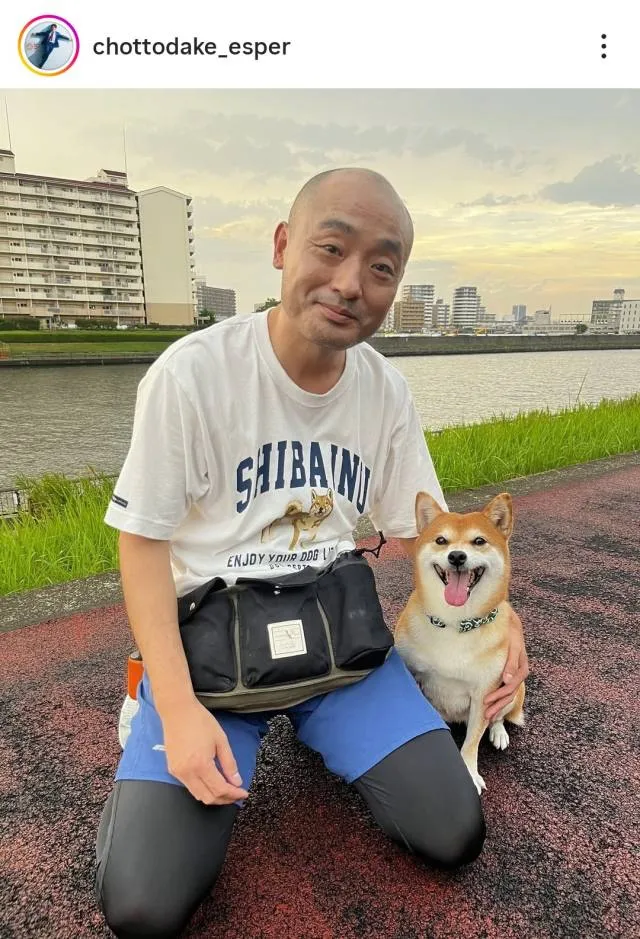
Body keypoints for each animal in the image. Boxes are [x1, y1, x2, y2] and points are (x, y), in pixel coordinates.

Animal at [395, 491, 525, 795]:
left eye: (479, 541)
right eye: (441, 540)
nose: (456, 556)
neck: (455, 624)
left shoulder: (484, 695)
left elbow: (471, 743)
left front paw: (469, 772)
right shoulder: (414, 676)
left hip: (513, 687)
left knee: (499, 717)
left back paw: (499, 733)